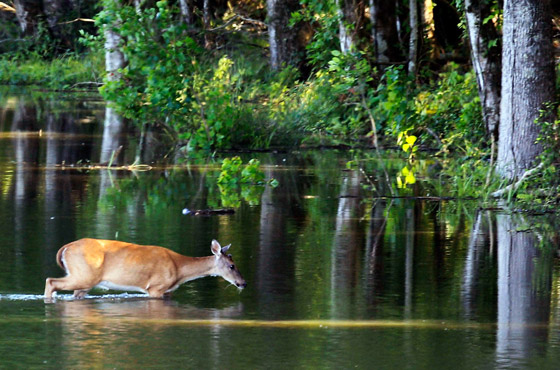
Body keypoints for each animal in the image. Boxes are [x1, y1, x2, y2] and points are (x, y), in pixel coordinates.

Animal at [43, 237, 245, 300]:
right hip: (84, 274)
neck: (179, 269)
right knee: (50, 281)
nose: (243, 283)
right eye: (232, 265)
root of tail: (66, 247)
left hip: (84, 281)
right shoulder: (156, 287)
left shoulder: (168, 291)